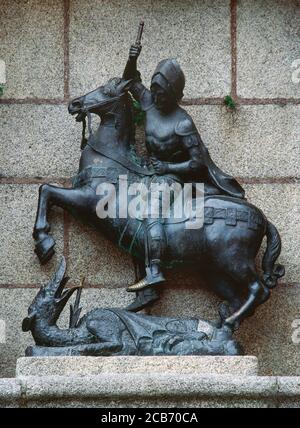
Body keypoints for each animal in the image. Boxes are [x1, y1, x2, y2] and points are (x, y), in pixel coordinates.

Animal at [31, 77, 284, 326]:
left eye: (107, 90)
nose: (74, 104)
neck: (112, 163)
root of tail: (262, 218)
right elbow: (47, 191)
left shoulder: (87, 201)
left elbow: (47, 190)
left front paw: (44, 243)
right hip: (214, 270)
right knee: (237, 296)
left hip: (233, 260)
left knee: (259, 290)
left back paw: (228, 321)